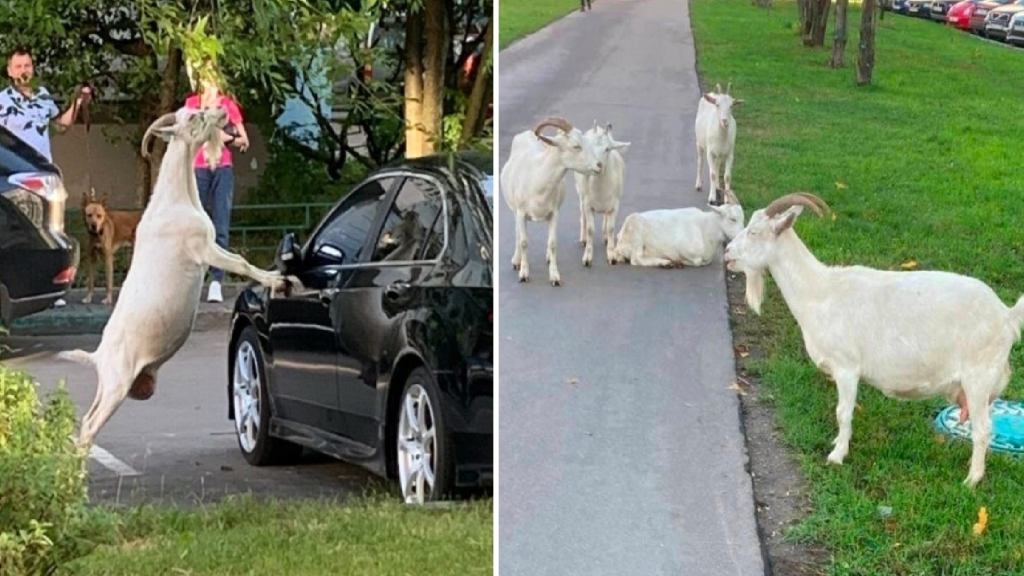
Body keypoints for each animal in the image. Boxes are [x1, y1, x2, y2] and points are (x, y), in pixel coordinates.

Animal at [61, 106, 296, 448]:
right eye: (193, 117)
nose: (223, 111)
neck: (173, 199)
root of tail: (98, 357)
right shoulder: (202, 250)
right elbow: (241, 263)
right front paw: (278, 282)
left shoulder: (212, 245)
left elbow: (241, 261)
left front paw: (278, 273)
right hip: (117, 384)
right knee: (90, 425)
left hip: (110, 387)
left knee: (87, 421)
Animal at [501, 117, 602, 284]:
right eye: (576, 146)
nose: (599, 165)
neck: (537, 180)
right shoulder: (521, 212)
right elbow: (523, 241)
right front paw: (524, 274)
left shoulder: (554, 213)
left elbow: (553, 243)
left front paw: (555, 276)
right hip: (514, 210)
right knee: (517, 233)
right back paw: (516, 261)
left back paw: (548, 258)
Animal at [573, 121, 626, 266]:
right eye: (589, 148)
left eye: (607, 149)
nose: (599, 165)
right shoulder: (588, 204)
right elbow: (590, 229)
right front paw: (587, 258)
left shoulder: (615, 204)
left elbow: (611, 228)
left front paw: (612, 256)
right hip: (580, 195)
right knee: (582, 215)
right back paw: (584, 239)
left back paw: (606, 237)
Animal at [606, 189, 745, 268]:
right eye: (732, 219)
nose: (742, 236)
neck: (705, 228)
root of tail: (619, 244)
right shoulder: (684, 249)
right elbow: (697, 261)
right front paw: (680, 262)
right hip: (636, 232)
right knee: (636, 259)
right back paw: (666, 263)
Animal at [720, 191, 1024, 483]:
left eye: (754, 232)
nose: (727, 253)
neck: (819, 291)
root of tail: (1006, 316)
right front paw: (837, 445)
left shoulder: (846, 367)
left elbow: (843, 412)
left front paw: (837, 455)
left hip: (978, 376)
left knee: (983, 430)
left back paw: (972, 480)